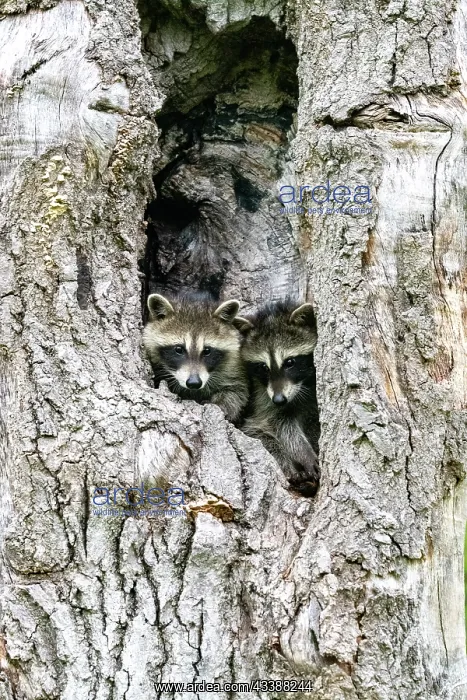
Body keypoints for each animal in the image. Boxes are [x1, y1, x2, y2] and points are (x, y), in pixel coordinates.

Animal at [143, 293, 249, 423]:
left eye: (207, 350)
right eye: (179, 349)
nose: (194, 383)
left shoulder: (233, 366)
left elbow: (237, 391)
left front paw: (222, 405)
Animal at [240, 300, 320, 496]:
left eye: (289, 362)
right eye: (263, 367)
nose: (278, 400)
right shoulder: (262, 396)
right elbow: (281, 423)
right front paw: (303, 452)